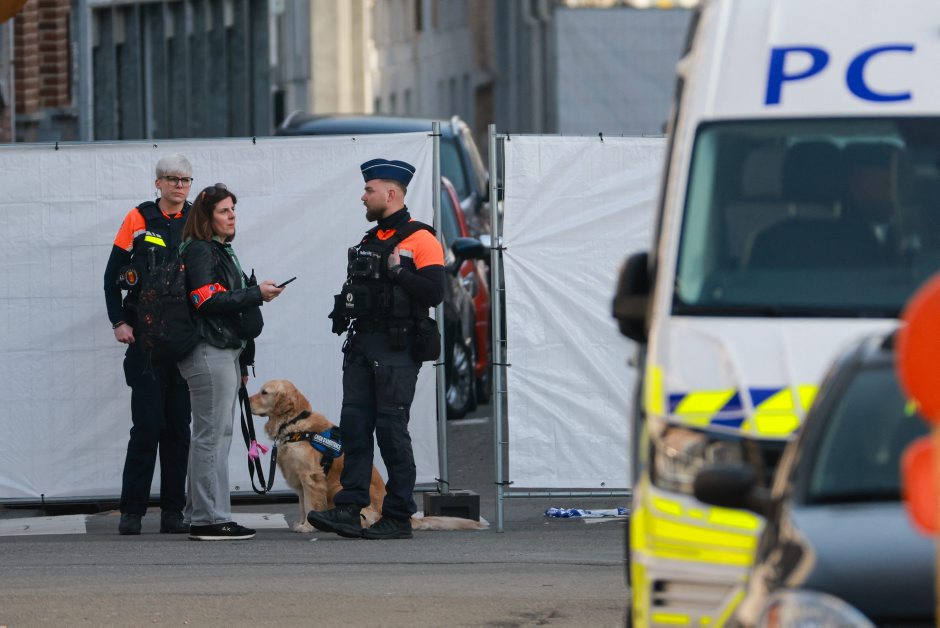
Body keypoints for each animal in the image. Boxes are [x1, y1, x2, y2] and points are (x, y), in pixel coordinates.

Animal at [249, 379, 487, 533]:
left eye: (264, 392)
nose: (246, 402)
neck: (295, 423)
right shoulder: (298, 482)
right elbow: (301, 505)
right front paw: (301, 524)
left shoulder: (312, 478)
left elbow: (310, 506)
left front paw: (308, 527)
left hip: (339, 487)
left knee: (365, 517)